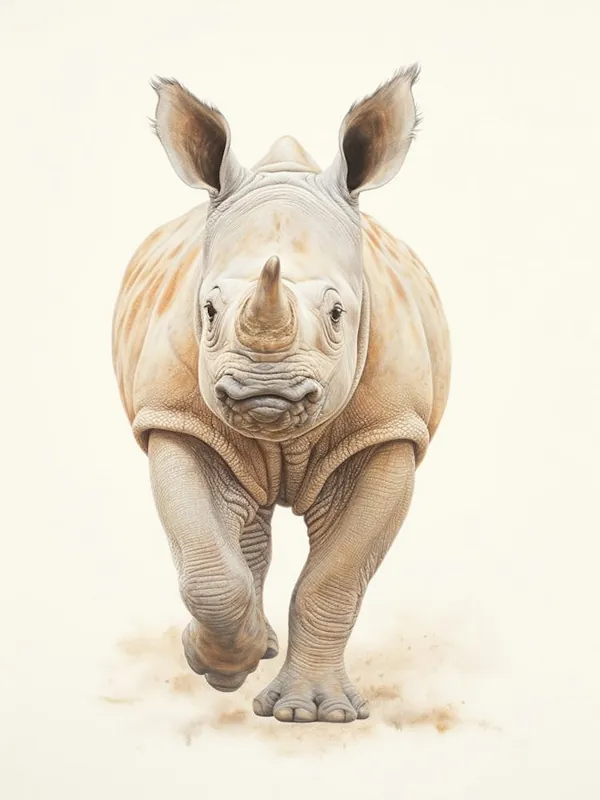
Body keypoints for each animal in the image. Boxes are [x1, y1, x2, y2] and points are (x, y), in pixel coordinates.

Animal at [111, 64, 451, 724]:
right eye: (208, 310)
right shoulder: (175, 416)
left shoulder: (390, 430)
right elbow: (207, 568)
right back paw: (251, 648)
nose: (263, 391)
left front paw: (314, 714)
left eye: (339, 313)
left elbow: (335, 578)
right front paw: (216, 664)